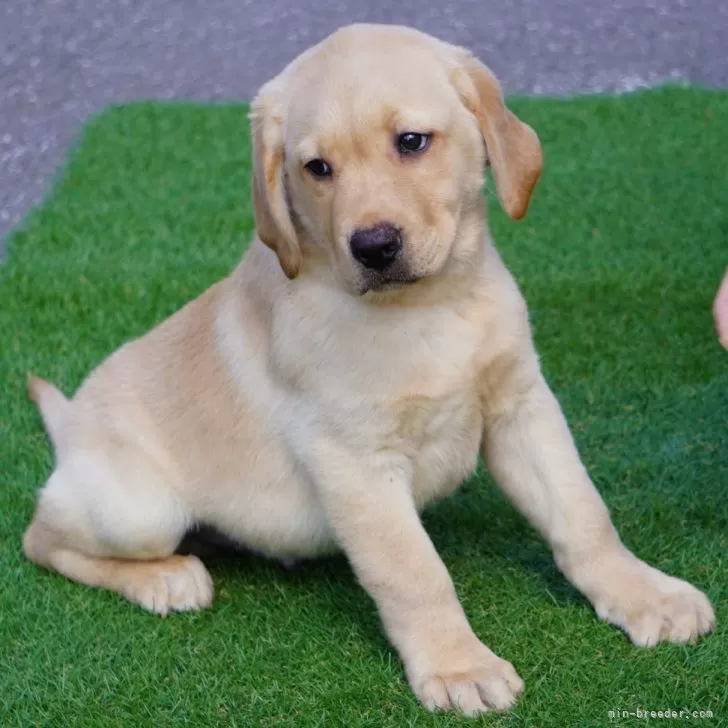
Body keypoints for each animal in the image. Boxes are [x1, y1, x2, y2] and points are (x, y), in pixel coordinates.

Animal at [22, 22, 712, 716]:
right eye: (317, 168)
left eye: (411, 142)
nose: (374, 247)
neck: (429, 308)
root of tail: (71, 425)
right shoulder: (355, 461)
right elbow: (415, 572)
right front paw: (458, 665)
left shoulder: (522, 406)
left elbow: (582, 513)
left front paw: (644, 594)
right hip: (139, 510)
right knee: (42, 538)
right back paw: (166, 578)